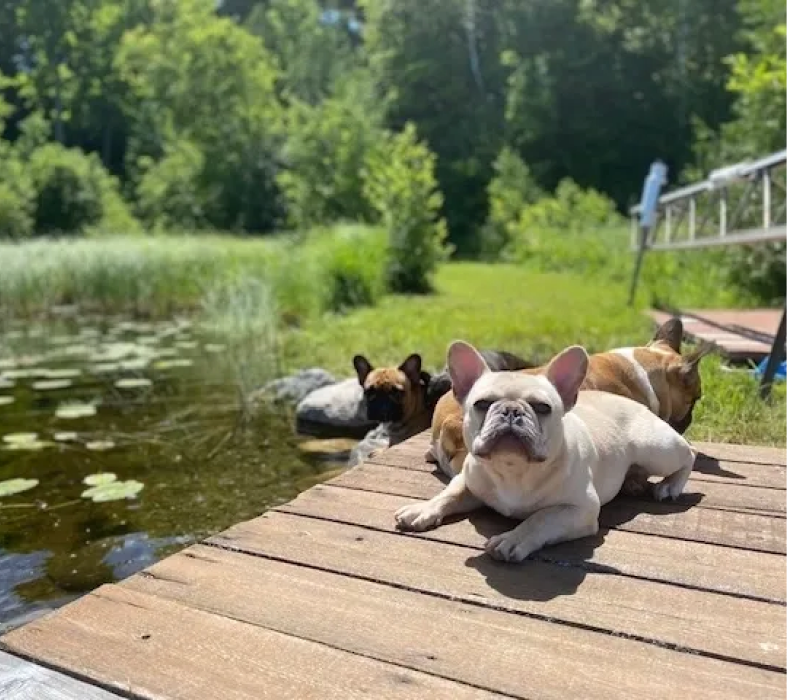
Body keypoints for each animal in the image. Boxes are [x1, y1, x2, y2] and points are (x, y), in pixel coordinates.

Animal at [395, 340, 696, 563]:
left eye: (542, 407)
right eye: (481, 404)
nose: (511, 411)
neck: (513, 469)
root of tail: (636, 403)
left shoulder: (580, 509)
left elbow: (541, 518)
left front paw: (512, 539)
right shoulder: (467, 480)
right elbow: (449, 493)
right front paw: (422, 509)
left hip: (656, 450)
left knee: (688, 454)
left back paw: (669, 486)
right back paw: (633, 481)